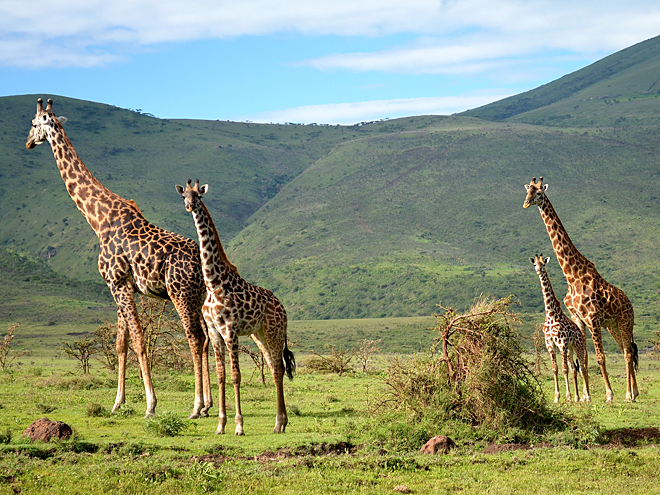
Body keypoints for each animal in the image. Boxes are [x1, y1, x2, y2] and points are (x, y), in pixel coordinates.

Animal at [25, 100, 211, 418]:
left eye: (35, 123)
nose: (27, 142)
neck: (98, 219)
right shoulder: (120, 286)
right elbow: (120, 344)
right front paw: (117, 403)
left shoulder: (119, 283)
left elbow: (138, 339)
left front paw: (150, 404)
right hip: (198, 297)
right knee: (210, 338)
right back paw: (209, 404)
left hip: (181, 294)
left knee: (195, 337)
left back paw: (197, 406)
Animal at [178, 180, 296, 436]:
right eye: (184, 196)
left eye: (198, 196)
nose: (189, 206)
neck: (213, 282)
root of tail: (282, 308)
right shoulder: (214, 331)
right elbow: (221, 375)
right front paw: (220, 425)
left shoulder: (230, 329)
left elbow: (235, 375)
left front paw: (239, 426)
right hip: (259, 335)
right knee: (275, 368)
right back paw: (280, 423)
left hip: (273, 332)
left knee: (278, 369)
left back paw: (279, 422)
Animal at [528, 256, 592, 404]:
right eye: (535, 264)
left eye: (543, 264)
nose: (538, 270)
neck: (551, 315)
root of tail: (580, 332)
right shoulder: (550, 343)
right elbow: (555, 369)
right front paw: (557, 397)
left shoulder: (561, 343)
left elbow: (564, 369)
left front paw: (567, 396)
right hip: (570, 349)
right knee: (574, 368)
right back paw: (577, 397)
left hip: (577, 346)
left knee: (582, 368)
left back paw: (587, 397)